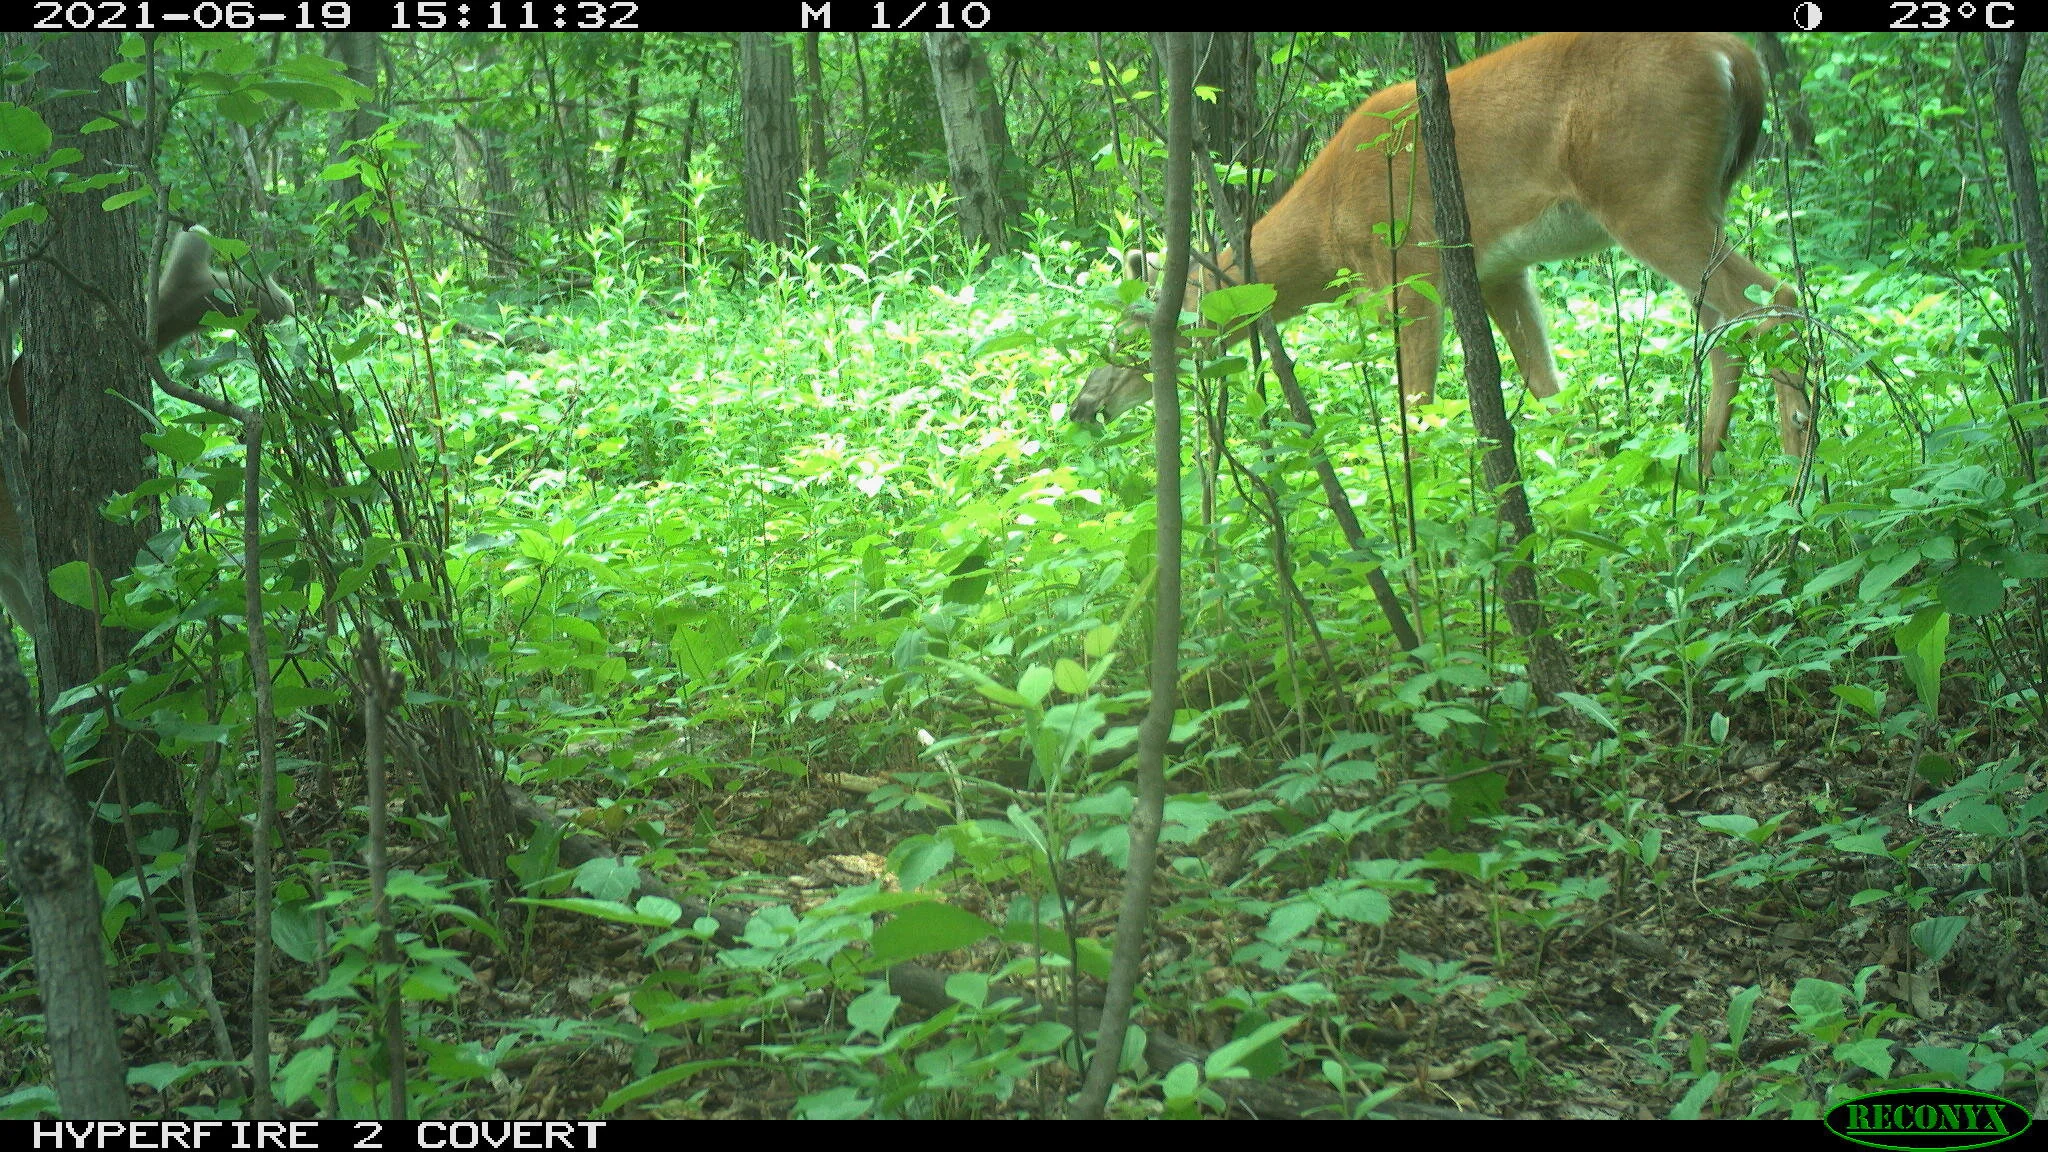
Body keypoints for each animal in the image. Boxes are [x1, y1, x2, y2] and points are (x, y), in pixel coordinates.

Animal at [1068, 32, 1812, 482]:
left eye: (1130, 334)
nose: (1081, 408)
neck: (1327, 222)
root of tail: (1736, 57)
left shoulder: (1409, 263)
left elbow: (1416, 399)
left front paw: (1425, 501)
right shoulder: (1500, 270)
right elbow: (1546, 387)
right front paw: (1571, 482)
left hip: (1648, 191)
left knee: (1772, 299)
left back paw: (1794, 470)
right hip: (1691, 196)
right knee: (1725, 324)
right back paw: (1704, 468)